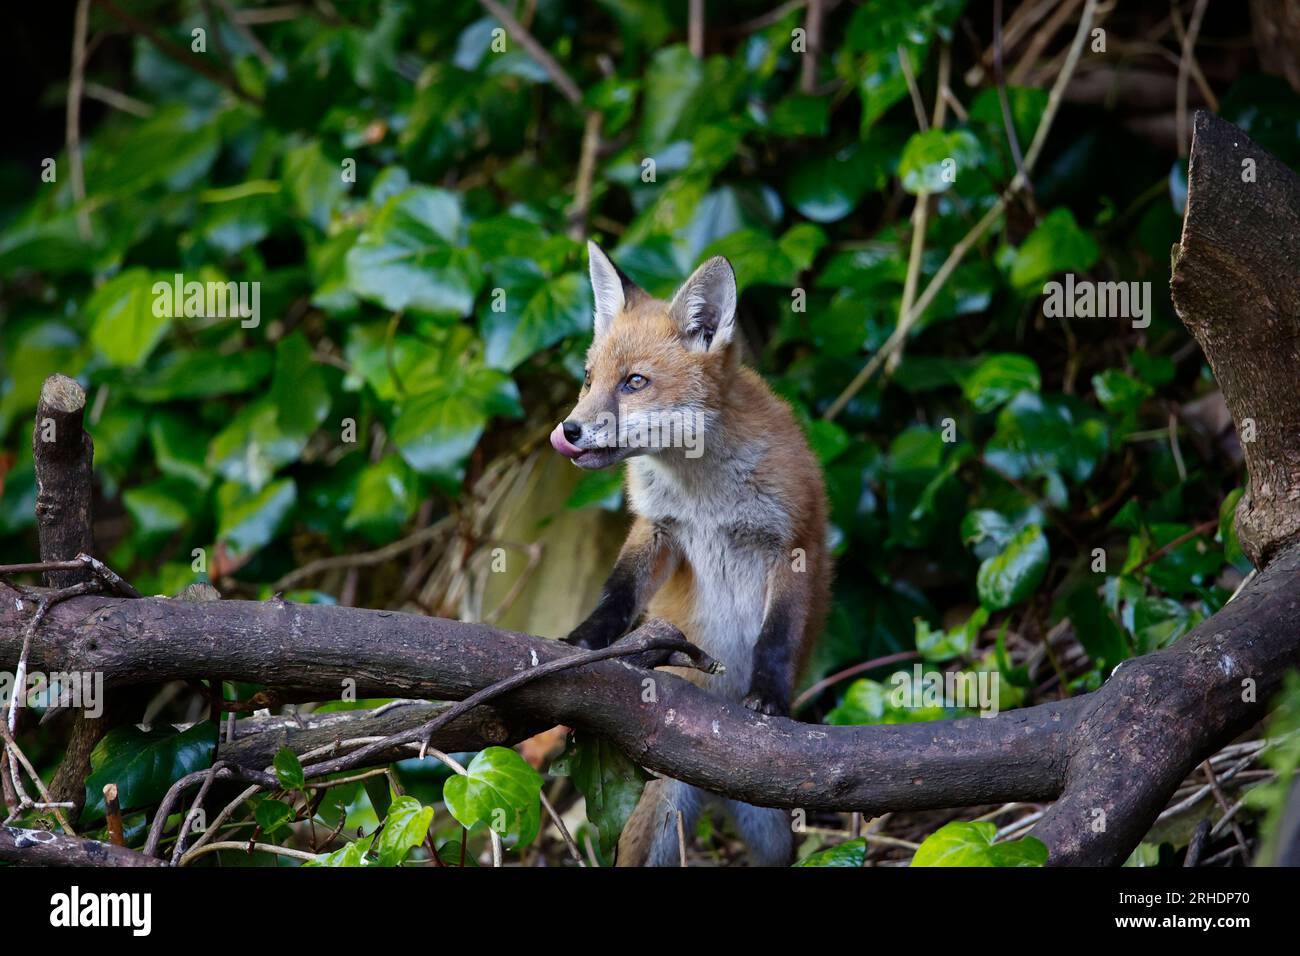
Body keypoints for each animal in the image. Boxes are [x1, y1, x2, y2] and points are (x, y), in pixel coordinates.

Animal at [549, 241, 831, 866]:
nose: (569, 430)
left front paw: (768, 696)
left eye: (634, 382)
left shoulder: (790, 542)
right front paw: (586, 639)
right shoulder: (659, 528)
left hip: (771, 830)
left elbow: (777, 635)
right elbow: (618, 591)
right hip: (657, 819)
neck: (705, 494)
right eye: (588, 378)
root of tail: (714, 786)